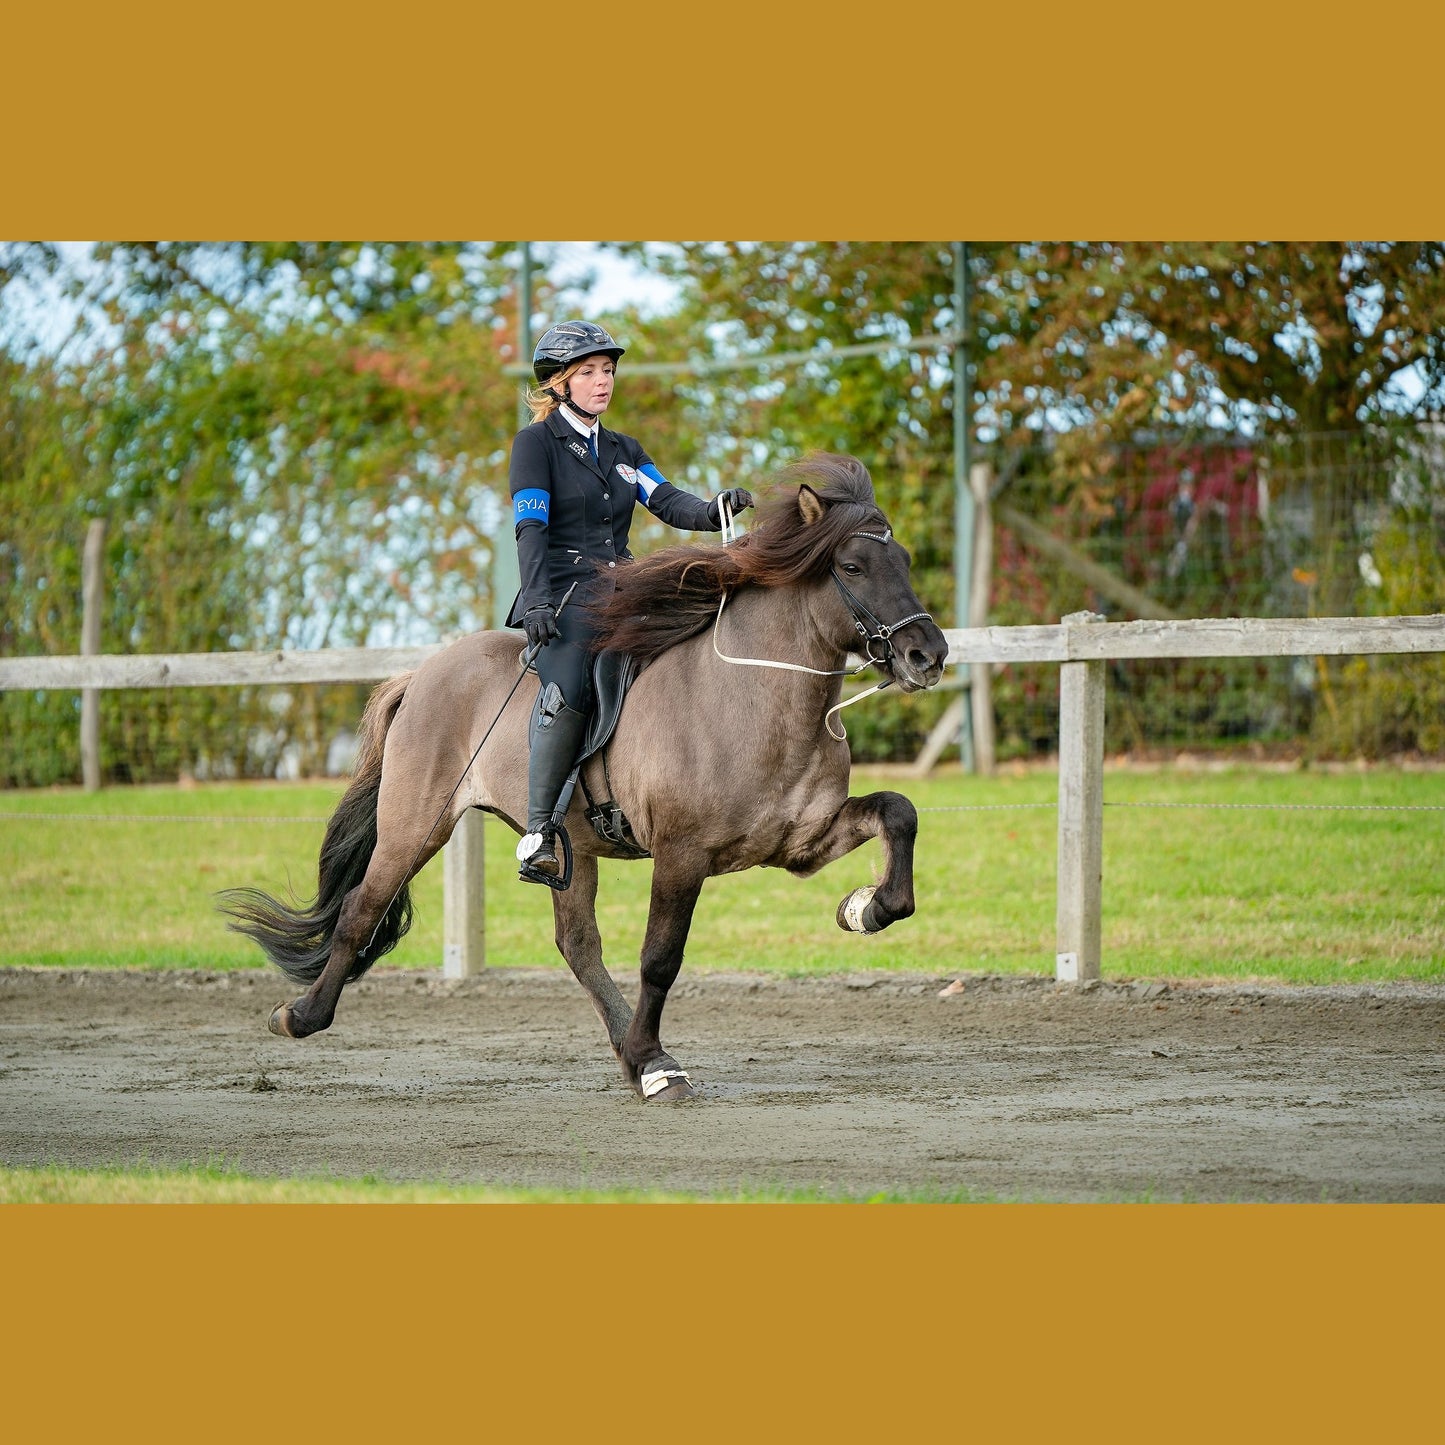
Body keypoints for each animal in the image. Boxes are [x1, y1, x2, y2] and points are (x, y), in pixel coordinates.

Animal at [216, 456, 947, 1098]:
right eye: (851, 566)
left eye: (906, 561)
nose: (928, 655)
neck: (753, 694)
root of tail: (423, 672)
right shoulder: (681, 854)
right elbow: (660, 957)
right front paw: (656, 1067)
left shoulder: (801, 841)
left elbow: (900, 813)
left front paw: (864, 908)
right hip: (414, 827)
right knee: (361, 910)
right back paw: (300, 1015)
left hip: (570, 847)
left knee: (576, 945)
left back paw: (632, 1052)